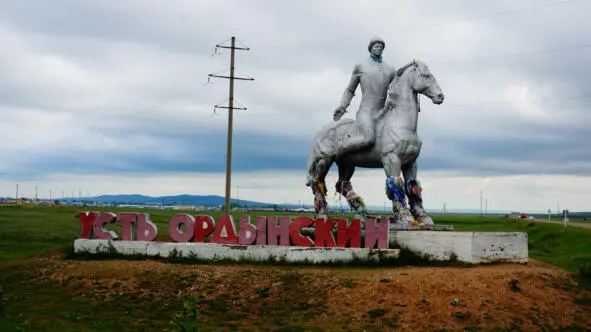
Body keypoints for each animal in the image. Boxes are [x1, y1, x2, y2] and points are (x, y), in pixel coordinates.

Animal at [306, 60, 444, 224]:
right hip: (324, 161)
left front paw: (423, 216)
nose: (440, 96)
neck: (401, 125)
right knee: (317, 182)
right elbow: (396, 184)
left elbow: (412, 186)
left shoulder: (410, 162)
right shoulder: (391, 159)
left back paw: (361, 214)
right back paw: (323, 215)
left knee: (342, 185)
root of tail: (321, 130)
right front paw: (404, 216)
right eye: (425, 75)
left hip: (347, 164)